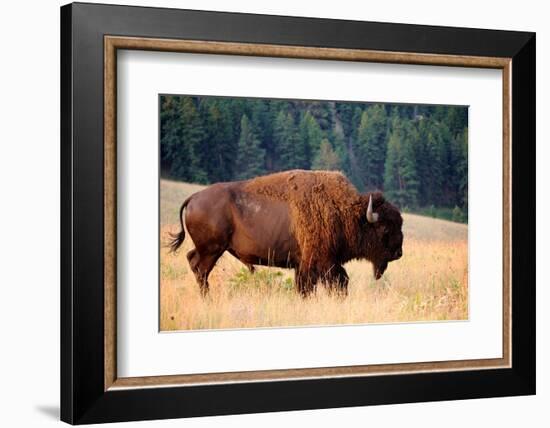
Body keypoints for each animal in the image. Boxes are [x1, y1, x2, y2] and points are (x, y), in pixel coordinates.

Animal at [169, 169, 406, 296]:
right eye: (385, 228)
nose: (398, 253)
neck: (344, 212)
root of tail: (194, 198)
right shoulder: (321, 263)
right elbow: (333, 283)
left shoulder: (305, 265)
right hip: (212, 250)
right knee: (201, 269)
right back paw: (207, 298)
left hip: (208, 249)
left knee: (192, 261)